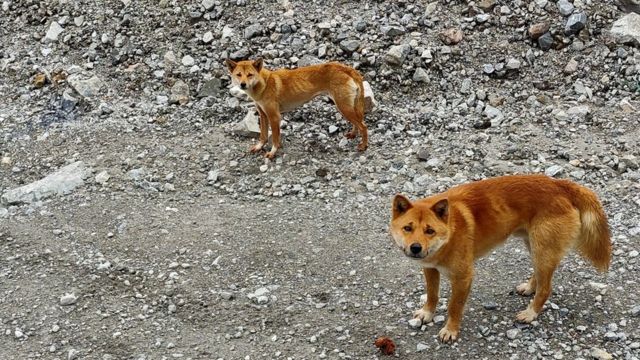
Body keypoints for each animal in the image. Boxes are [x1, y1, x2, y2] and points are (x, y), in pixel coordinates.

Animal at [225, 58, 368, 158]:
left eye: (250, 74)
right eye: (239, 74)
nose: (243, 84)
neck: (263, 84)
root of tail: (347, 68)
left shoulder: (274, 116)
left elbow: (275, 138)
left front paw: (273, 152)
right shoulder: (263, 114)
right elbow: (263, 135)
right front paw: (259, 147)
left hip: (343, 107)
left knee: (364, 126)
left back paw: (363, 146)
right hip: (347, 107)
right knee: (358, 124)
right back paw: (353, 134)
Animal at [388, 176, 612, 342]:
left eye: (430, 231)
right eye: (407, 228)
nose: (415, 248)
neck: (450, 231)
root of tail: (560, 184)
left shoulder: (463, 277)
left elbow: (454, 306)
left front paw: (450, 330)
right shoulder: (430, 268)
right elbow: (432, 295)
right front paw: (427, 313)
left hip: (542, 249)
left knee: (546, 288)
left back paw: (530, 313)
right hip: (535, 247)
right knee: (540, 278)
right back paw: (529, 288)